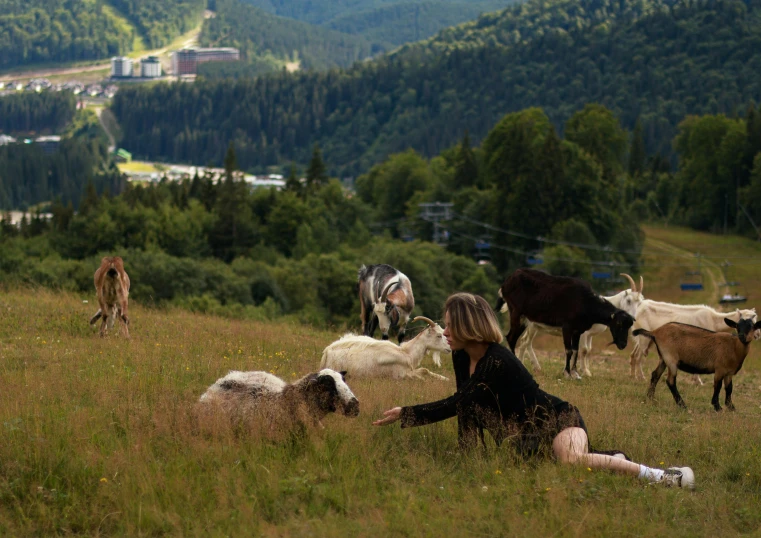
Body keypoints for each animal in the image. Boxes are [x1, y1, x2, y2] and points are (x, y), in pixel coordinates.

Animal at [628, 300, 756, 378]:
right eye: (743, 321)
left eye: (755, 318)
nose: (756, 335)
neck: (714, 320)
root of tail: (640, 306)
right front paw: (698, 382)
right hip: (644, 340)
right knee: (638, 356)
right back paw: (640, 378)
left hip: (645, 338)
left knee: (634, 355)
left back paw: (633, 377)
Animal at [632, 316, 760, 408]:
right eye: (737, 326)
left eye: (752, 326)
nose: (742, 336)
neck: (733, 347)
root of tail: (655, 331)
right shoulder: (719, 369)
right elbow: (717, 386)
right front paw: (717, 407)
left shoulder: (729, 373)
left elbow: (729, 388)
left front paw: (731, 407)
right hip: (671, 358)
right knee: (670, 381)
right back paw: (682, 405)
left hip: (663, 358)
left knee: (655, 375)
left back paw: (650, 398)